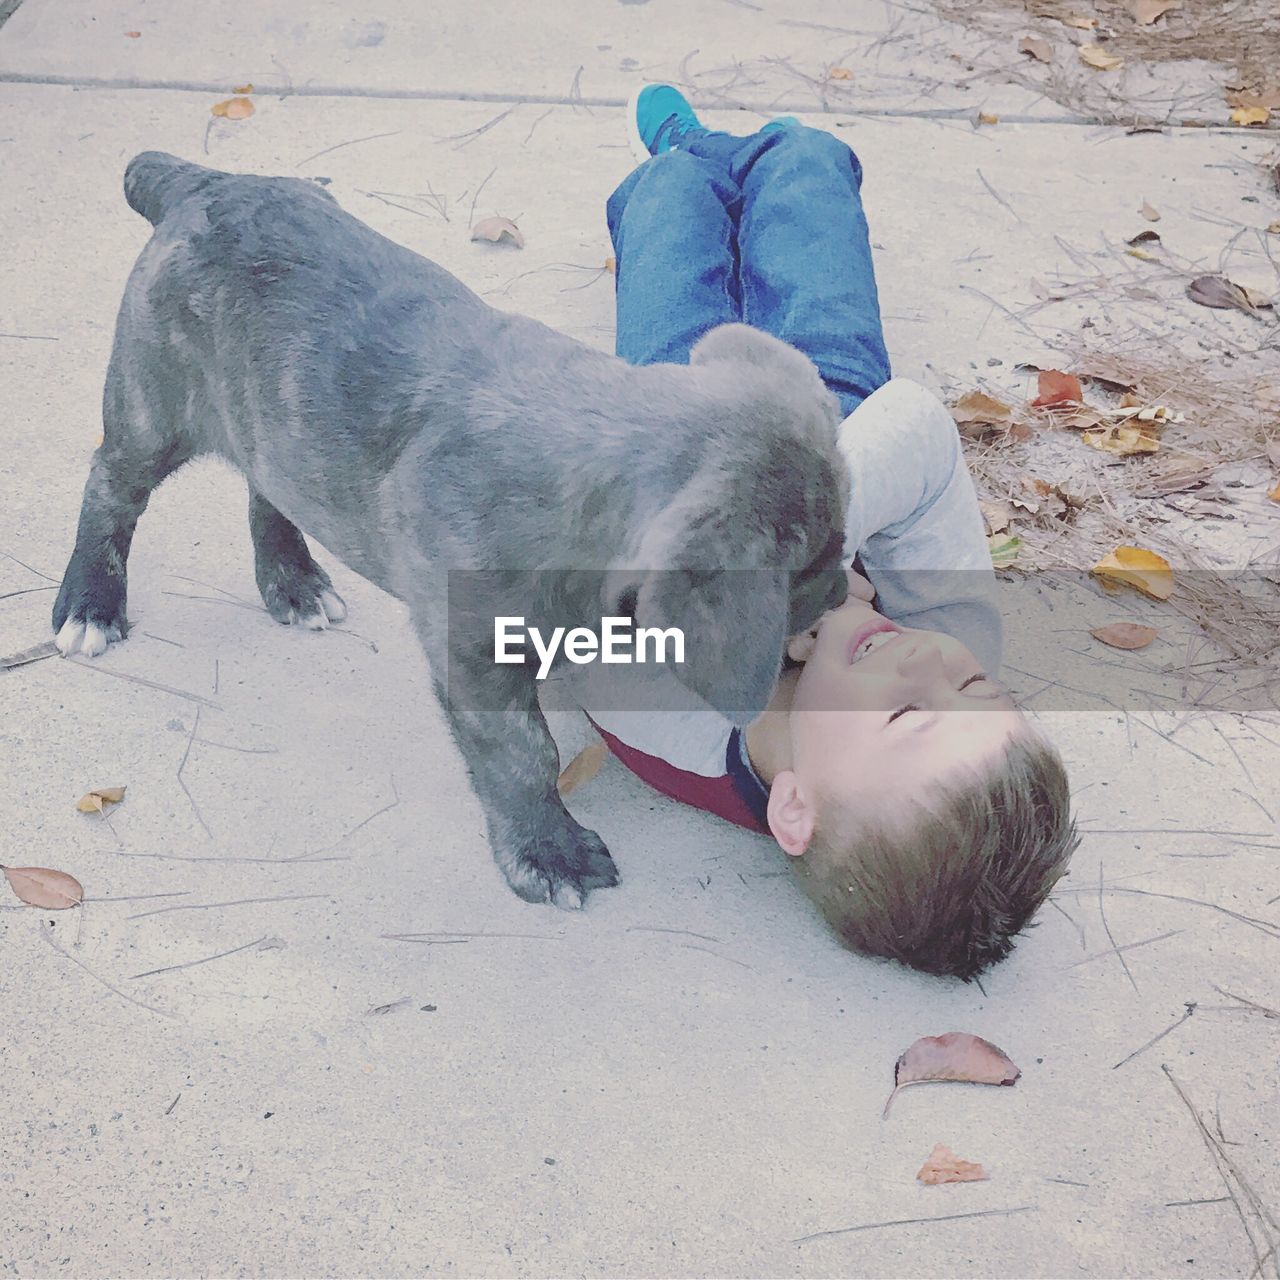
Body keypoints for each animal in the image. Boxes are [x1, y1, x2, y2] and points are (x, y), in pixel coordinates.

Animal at [55, 154, 849, 906]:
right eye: (808, 568)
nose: (842, 594)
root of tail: (204, 180)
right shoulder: (476, 661)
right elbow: (525, 756)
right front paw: (547, 853)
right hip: (150, 411)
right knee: (109, 493)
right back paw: (91, 606)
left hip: (268, 421)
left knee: (269, 487)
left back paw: (293, 582)